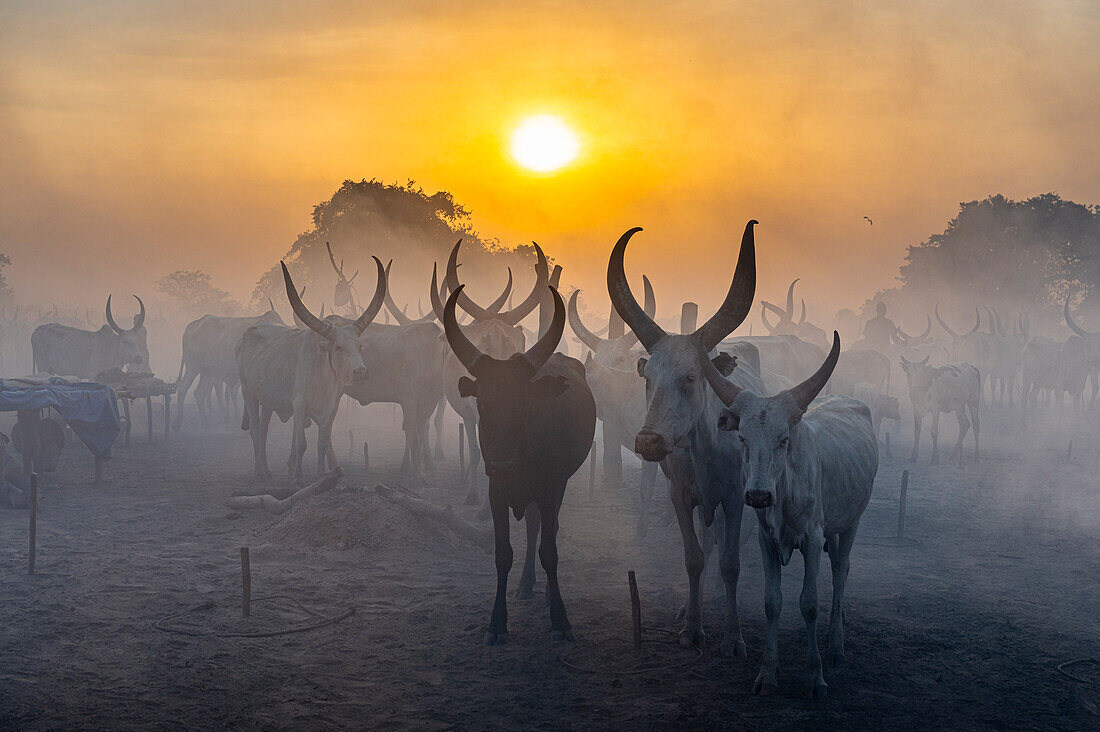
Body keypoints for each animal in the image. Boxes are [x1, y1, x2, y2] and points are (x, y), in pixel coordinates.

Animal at [171, 299, 283, 431]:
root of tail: (194, 324)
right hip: (193, 367)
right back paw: (179, 422)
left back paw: (206, 422)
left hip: (208, 372)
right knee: (182, 389)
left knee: (199, 393)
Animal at [234, 259, 385, 482]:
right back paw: (259, 472)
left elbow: (322, 444)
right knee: (254, 429)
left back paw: (266, 469)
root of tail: (249, 332)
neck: (322, 379)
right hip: (248, 392)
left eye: (359, 346)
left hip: (268, 399)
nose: (360, 372)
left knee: (262, 429)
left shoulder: (331, 409)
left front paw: (321, 475)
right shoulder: (299, 405)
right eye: (338, 347)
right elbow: (301, 444)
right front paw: (297, 477)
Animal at [440, 281, 598, 642]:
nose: (502, 465)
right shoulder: (496, 492)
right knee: (533, 526)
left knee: (545, 529)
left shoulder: (551, 488)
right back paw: (525, 586)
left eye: (522, 403)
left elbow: (549, 551)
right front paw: (497, 623)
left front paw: (560, 619)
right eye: (482, 403)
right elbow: (503, 554)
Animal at [607, 221, 761, 651]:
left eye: (691, 377)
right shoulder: (679, 496)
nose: (648, 441)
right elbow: (694, 558)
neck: (706, 450)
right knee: (707, 546)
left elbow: (731, 563)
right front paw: (692, 626)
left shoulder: (733, 498)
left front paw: (734, 636)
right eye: (647, 376)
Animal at [704, 330, 875, 695]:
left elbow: (809, 604)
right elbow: (772, 603)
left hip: (851, 522)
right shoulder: (766, 540)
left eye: (783, 439)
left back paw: (836, 644)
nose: (757, 495)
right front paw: (768, 673)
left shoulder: (811, 538)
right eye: (742, 437)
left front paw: (814, 675)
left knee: (841, 570)